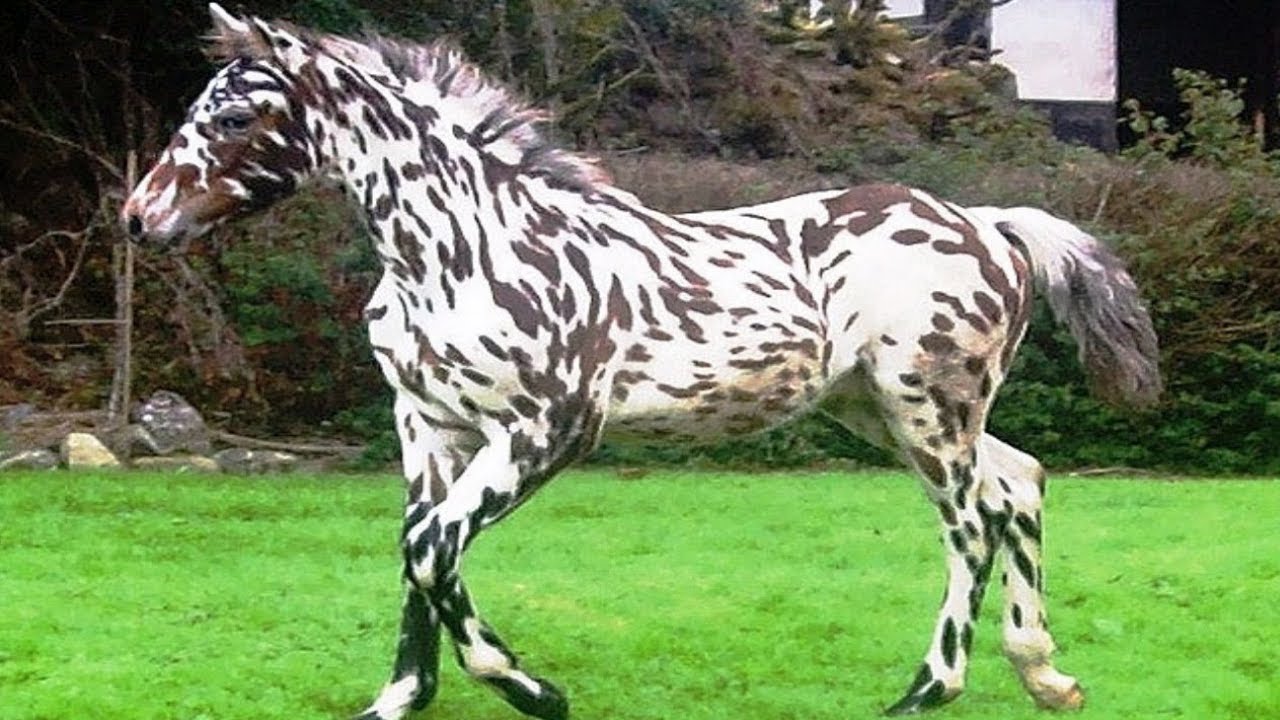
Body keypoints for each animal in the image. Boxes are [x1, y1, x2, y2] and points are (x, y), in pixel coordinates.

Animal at [123, 5, 1161, 718]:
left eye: (235, 118)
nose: (139, 217)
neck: (470, 244)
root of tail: (989, 222)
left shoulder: (546, 430)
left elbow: (430, 548)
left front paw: (531, 690)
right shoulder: (427, 425)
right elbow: (417, 549)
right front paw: (402, 698)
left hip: (925, 406)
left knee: (971, 525)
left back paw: (926, 691)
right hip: (883, 408)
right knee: (1018, 481)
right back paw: (1045, 672)